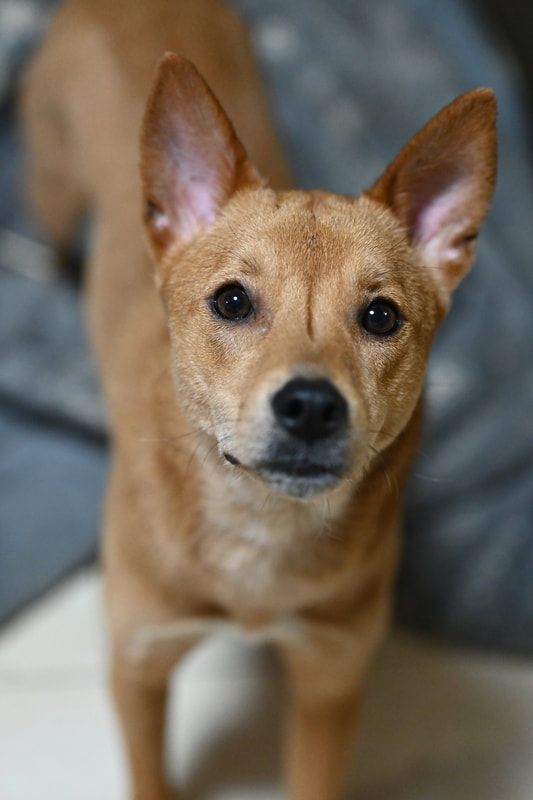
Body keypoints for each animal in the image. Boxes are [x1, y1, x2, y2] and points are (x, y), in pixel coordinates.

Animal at [20, 1, 494, 800]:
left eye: (381, 317)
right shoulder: (138, 665)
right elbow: (148, 776)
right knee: (52, 239)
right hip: (50, 181)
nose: (310, 406)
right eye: (232, 301)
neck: (260, 526)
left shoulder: (330, 681)